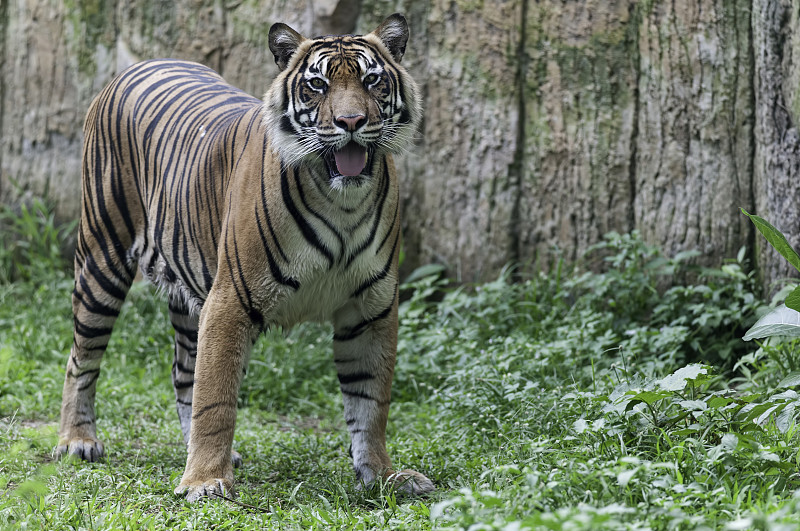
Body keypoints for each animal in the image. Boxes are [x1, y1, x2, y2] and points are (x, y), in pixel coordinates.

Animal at [54, 13, 432, 502]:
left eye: (372, 81)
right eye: (317, 85)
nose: (351, 121)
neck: (342, 202)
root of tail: (142, 63)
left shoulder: (370, 309)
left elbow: (371, 404)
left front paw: (384, 475)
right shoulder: (231, 300)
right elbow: (216, 399)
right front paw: (204, 481)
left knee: (183, 373)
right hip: (102, 257)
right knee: (81, 356)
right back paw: (77, 441)